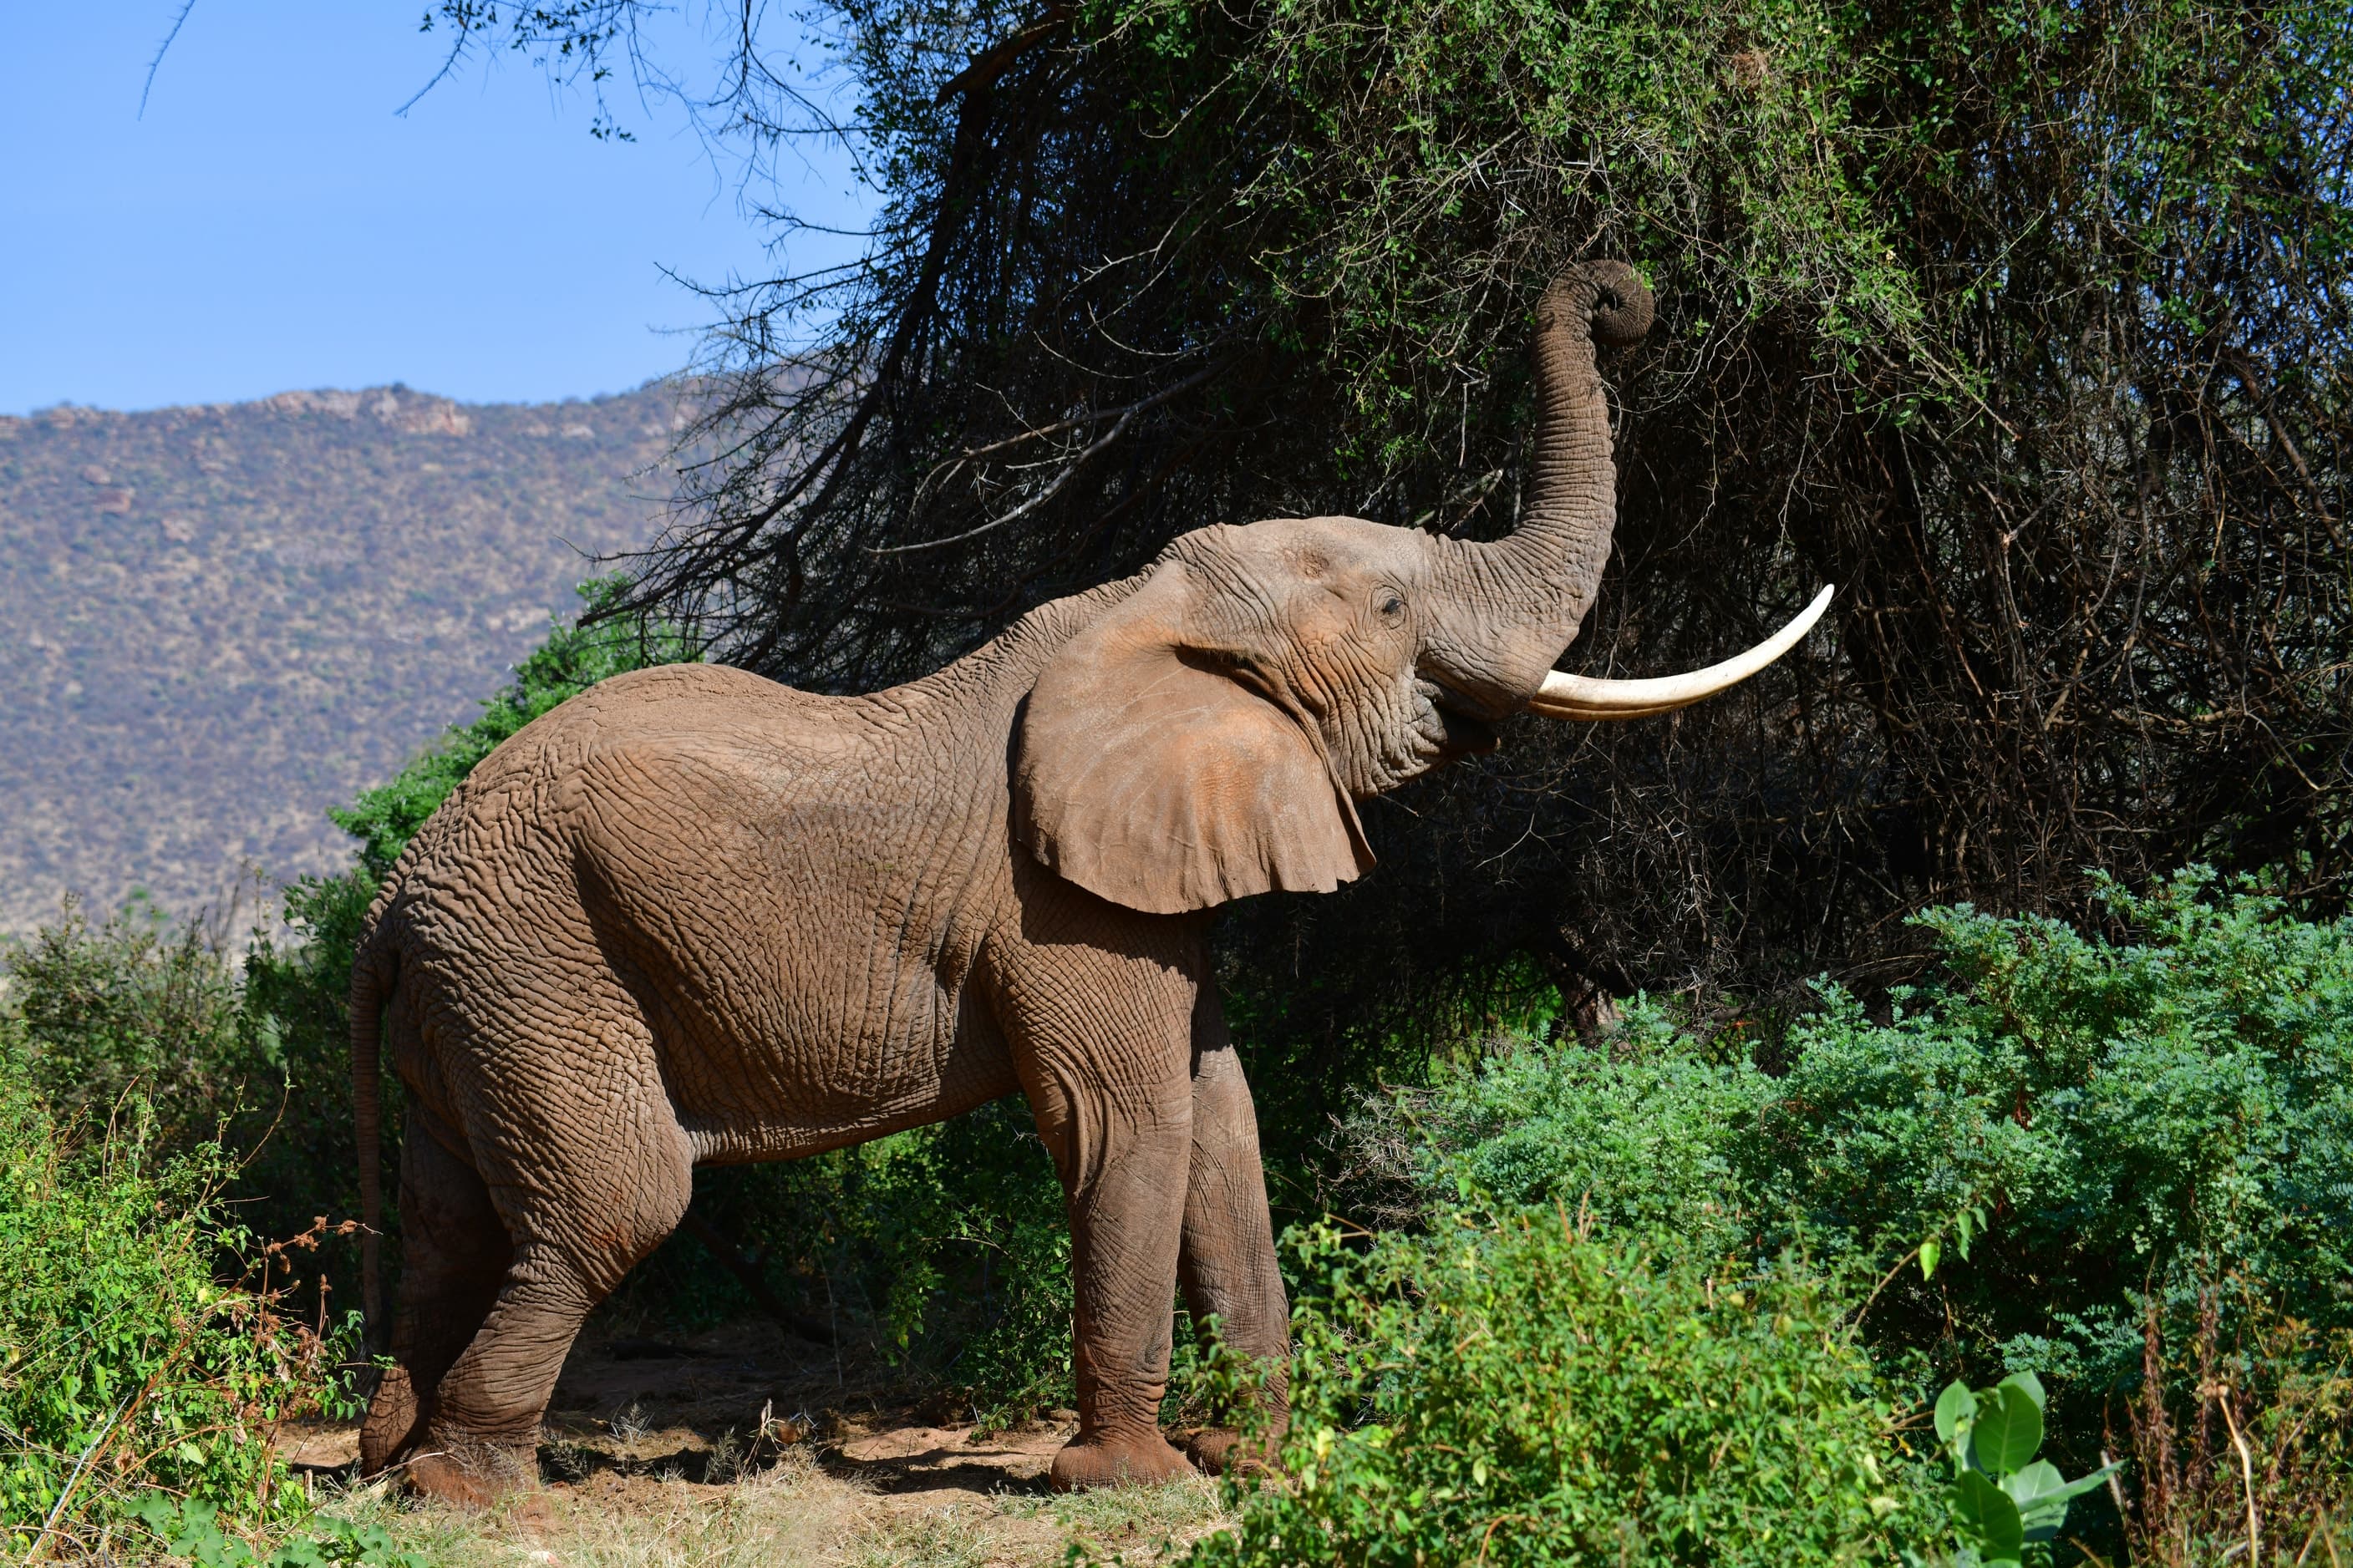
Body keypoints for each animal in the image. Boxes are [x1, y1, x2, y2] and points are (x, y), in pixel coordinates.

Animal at [349, 258, 1830, 1500]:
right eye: (1394, 610)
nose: (1620, 295)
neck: (1145, 607)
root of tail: (390, 898)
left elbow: (1224, 1119)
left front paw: (1255, 1462)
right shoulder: (1059, 901)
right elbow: (1127, 1121)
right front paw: (1133, 1482)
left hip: (479, 985)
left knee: (449, 1206)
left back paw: (392, 1452)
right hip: (541, 954)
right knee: (618, 1201)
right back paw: (474, 1490)